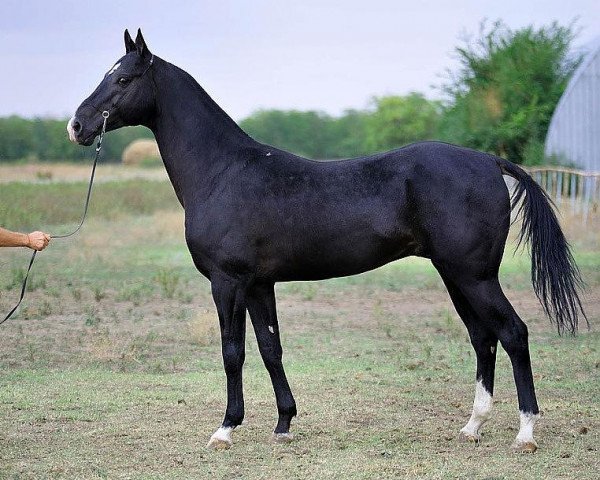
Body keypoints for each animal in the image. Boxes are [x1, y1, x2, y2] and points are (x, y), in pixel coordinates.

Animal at [68, 29, 584, 450]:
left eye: (123, 79)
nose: (77, 125)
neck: (222, 172)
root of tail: (487, 161)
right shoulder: (259, 285)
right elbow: (270, 349)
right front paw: (283, 424)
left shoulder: (227, 282)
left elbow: (233, 352)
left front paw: (226, 428)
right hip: (456, 276)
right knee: (483, 339)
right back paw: (472, 427)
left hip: (475, 277)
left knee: (513, 334)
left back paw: (525, 433)